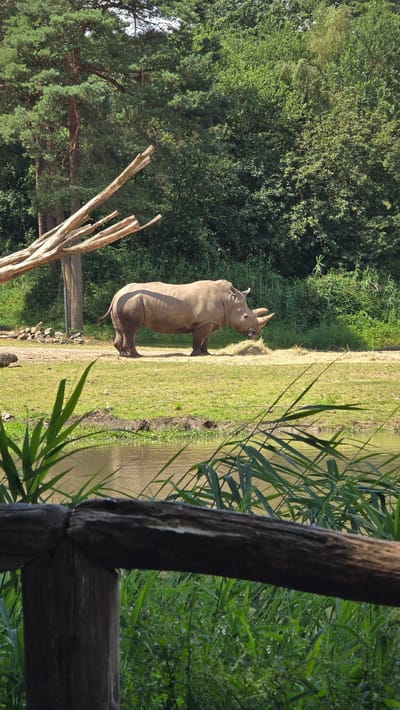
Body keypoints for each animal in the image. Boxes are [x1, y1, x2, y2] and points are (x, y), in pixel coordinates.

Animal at [99, 279, 274, 357]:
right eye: (245, 316)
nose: (255, 333)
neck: (228, 301)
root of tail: (117, 294)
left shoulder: (210, 322)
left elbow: (206, 340)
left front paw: (207, 354)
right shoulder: (202, 323)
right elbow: (198, 339)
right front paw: (196, 354)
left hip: (124, 301)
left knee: (120, 329)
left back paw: (123, 355)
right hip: (130, 302)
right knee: (131, 330)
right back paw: (136, 356)